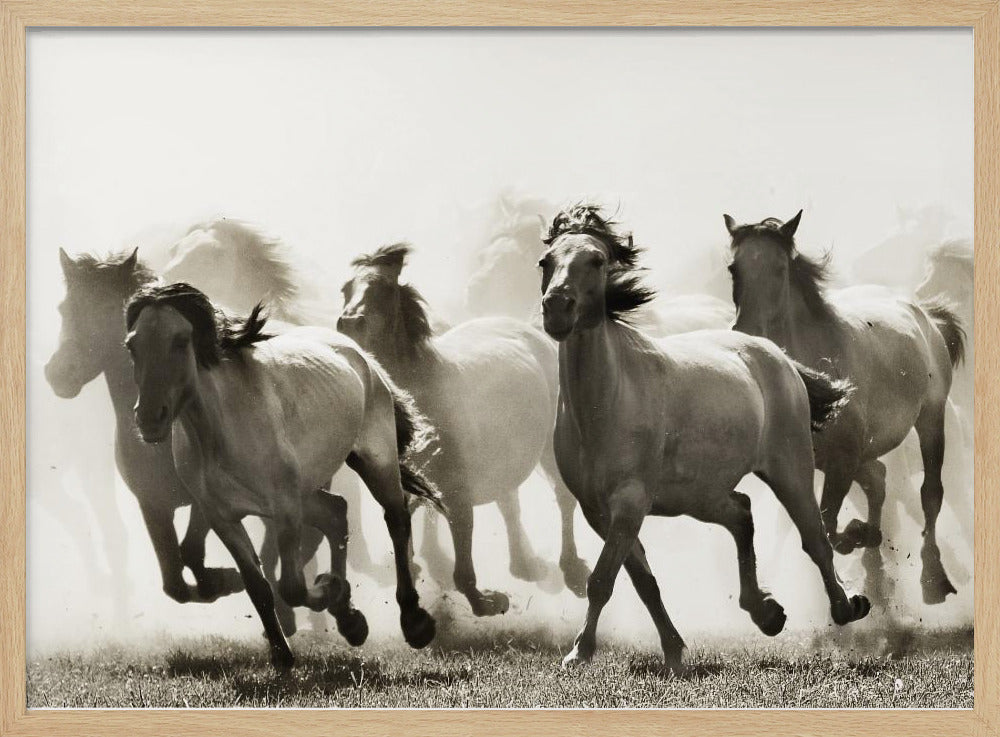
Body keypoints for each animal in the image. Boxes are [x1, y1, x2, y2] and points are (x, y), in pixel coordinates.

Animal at [124, 282, 440, 668]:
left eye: (181, 340)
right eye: (132, 345)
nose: (149, 418)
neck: (222, 428)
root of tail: (360, 355)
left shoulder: (285, 508)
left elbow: (290, 586)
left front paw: (328, 589)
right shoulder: (222, 516)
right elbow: (258, 585)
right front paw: (282, 654)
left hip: (374, 460)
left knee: (395, 519)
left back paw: (414, 622)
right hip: (307, 490)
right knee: (336, 512)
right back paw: (350, 621)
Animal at [338, 243, 592, 615]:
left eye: (383, 289)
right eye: (346, 289)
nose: (348, 324)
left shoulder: (457, 491)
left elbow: (462, 561)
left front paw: (487, 601)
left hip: (548, 447)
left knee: (562, 498)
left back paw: (572, 571)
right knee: (508, 502)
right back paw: (525, 565)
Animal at [538, 204, 869, 671]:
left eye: (597, 260)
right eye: (545, 262)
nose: (556, 308)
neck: (605, 404)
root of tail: (777, 354)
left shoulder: (629, 502)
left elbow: (602, 579)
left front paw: (578, 653)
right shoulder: (597, 511)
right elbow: (643, 582)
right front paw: (673, 651)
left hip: (790, 470)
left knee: (815, 539)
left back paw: (846, 606)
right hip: (700, 495)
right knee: (742, 513)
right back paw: (766, 612)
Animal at [723, 210, 966, 607]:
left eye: (779, 268)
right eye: (733, 268)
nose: (747, 331)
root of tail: (926, 315)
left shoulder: (843, 459)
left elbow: (829, 525)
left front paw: (857, 538)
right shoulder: (814, 464)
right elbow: (826, 525)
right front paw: (863, 539)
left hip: (931, 418)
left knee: (930, 493)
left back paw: (933, 579)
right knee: (879, 479)